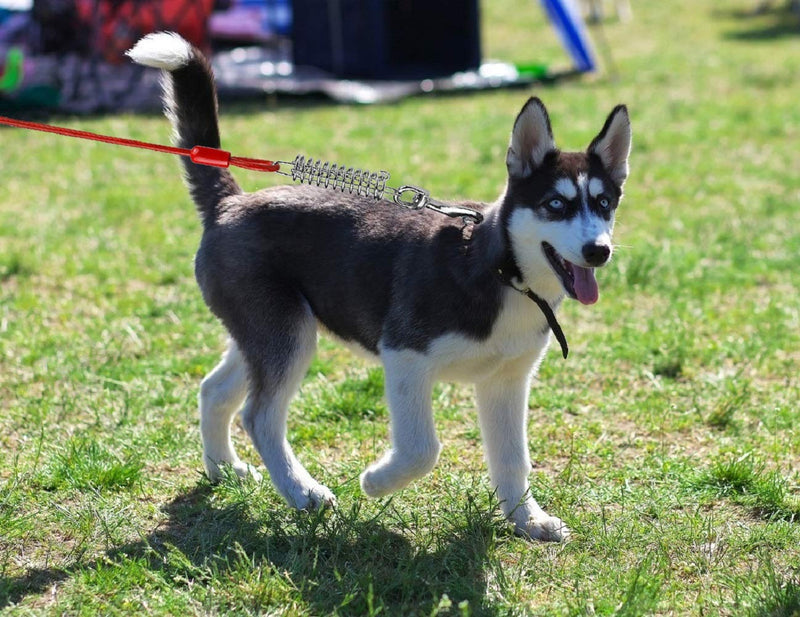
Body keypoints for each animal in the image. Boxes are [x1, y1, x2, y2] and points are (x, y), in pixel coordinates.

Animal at [126, 32, 632, 540]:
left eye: (604, 204)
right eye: (555, 205)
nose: (598, 251)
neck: (502, 272)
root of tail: (230, 202)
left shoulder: (506, 380)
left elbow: (512, 459)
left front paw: (528, 520)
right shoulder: (405, 355)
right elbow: (423, 448)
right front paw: (376, 482)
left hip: (267, 331)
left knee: (215, 391)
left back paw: (223, 470)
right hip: (287, 335)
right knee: (259, 415)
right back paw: (302, 492)